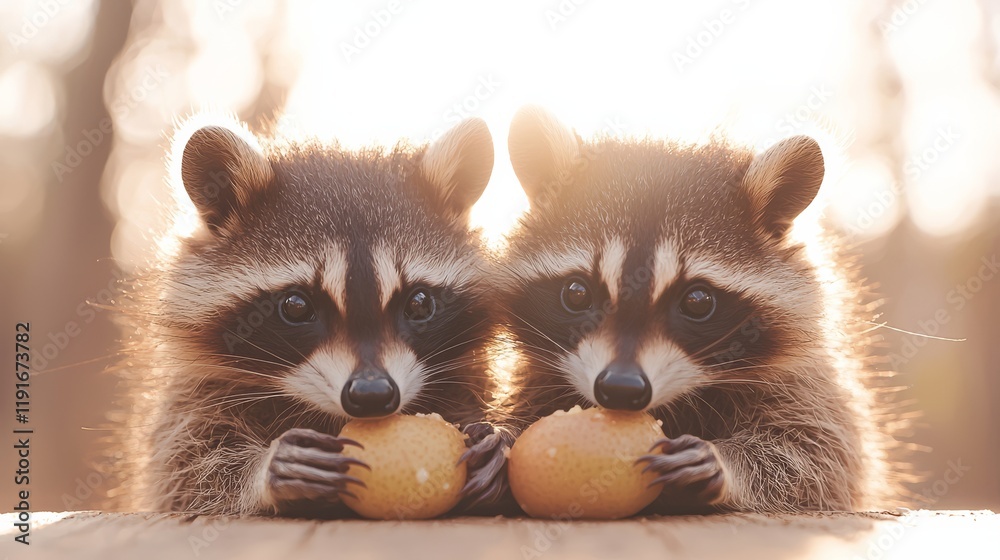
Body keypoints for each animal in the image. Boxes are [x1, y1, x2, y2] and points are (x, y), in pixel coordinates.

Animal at [114, 116, 509, 516]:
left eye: (419, 304)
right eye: (296, 306)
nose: (371, 394)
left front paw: (498, 447)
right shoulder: (197, 391)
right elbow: (185, 472)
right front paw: (261, 473)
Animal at [499, 106, 899, 513]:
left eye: (698, 301)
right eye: (577, 294)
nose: (621, 388)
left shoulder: (802, 380)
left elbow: (822, 455)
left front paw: (727, 465)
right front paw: (502, 439)